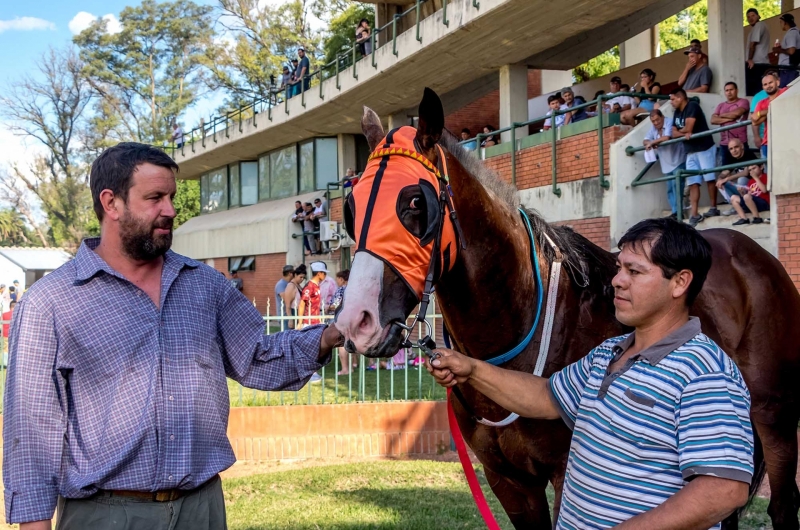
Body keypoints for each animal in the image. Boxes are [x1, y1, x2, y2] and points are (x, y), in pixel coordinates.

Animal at [334, 88, 800, 524]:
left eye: (416, 202)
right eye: (351, 207)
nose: (356, 321)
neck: (520, 326)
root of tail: (748, 251)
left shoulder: (564, 471)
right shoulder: (508, 480)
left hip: (773, 418)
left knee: (780, 503)